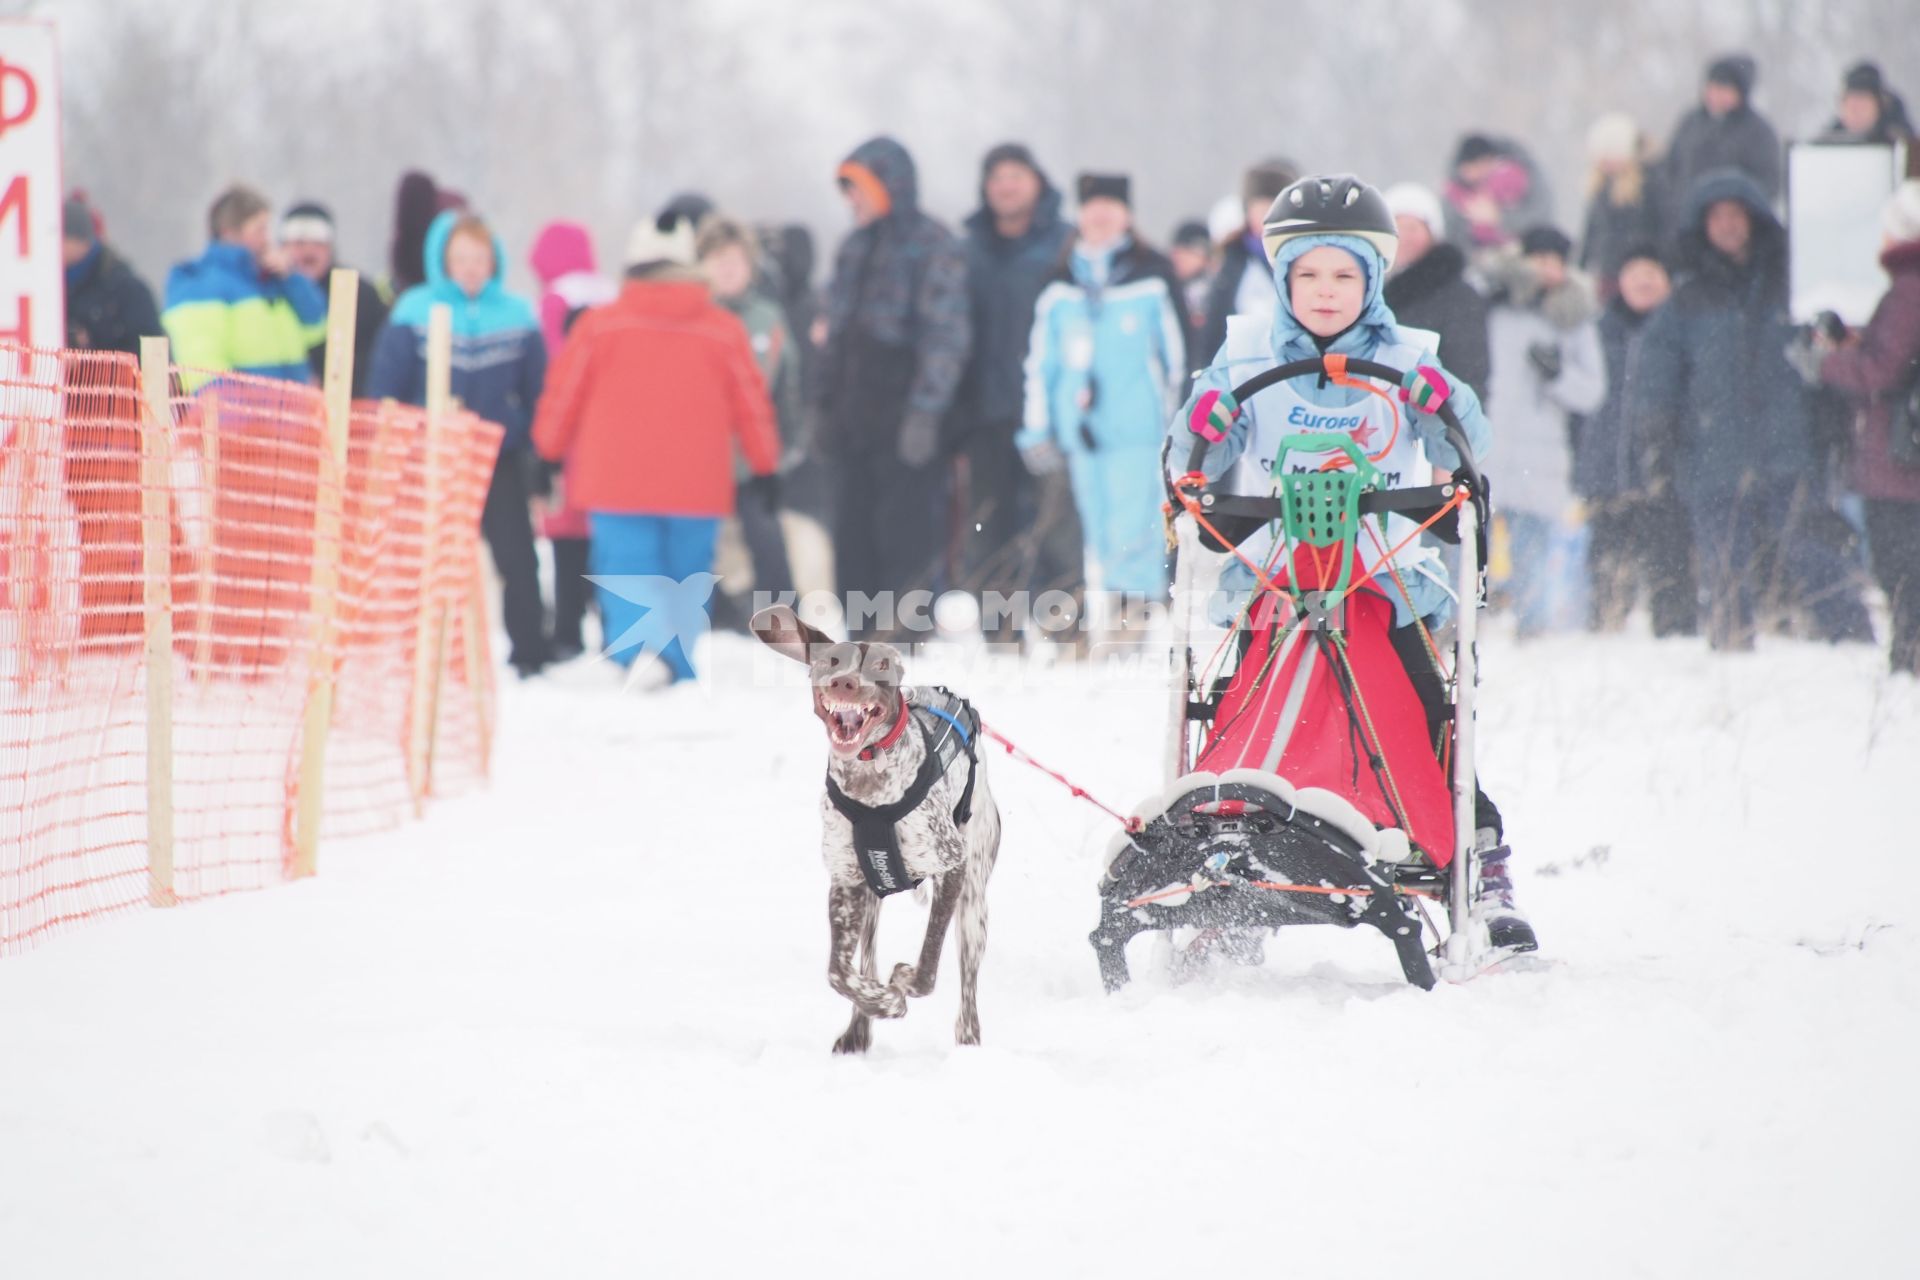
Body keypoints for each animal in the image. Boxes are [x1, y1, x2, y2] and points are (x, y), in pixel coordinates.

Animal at [744, 606, 998, 1059]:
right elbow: (839, 974)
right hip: (870, 902)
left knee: (967, 981)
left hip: (973, 904)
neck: (870, 784)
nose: (845, 682)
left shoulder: (951, 865)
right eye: (832, 660)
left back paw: (969, 1041)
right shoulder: (846, 883)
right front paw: (883, 1003)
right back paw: (858, 1031)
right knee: (865, 959)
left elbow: (927, 965)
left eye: (880, 664)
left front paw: (902, 985)